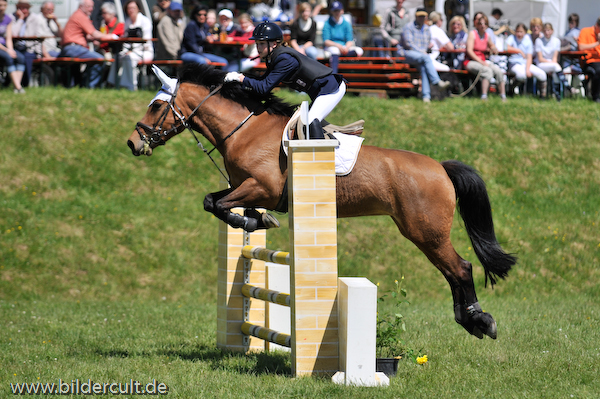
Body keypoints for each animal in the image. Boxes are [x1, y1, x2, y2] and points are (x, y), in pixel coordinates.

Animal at [126, 65, 516, 340]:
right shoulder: (242, 187)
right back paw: (469, 320)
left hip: (425, 231)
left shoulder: (262, 188)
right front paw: (254, 221)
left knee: (460, 267)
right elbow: (212, 201)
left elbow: (220, 206)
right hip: (422, 232)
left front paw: (254, 221)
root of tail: (440, 167)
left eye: (156, 105)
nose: (133, 143)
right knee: (451, 271)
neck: (244, 130)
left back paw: (481, 321)